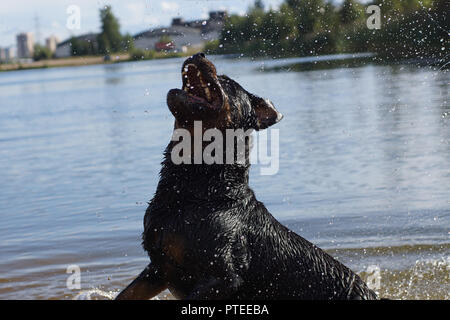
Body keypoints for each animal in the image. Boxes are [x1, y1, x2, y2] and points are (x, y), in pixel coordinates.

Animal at [115, 52, 376, 300]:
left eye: (227, 81)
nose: (199, 54)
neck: (199, 186)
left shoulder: (224, 277)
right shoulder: (159, 267)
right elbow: (125, 294)